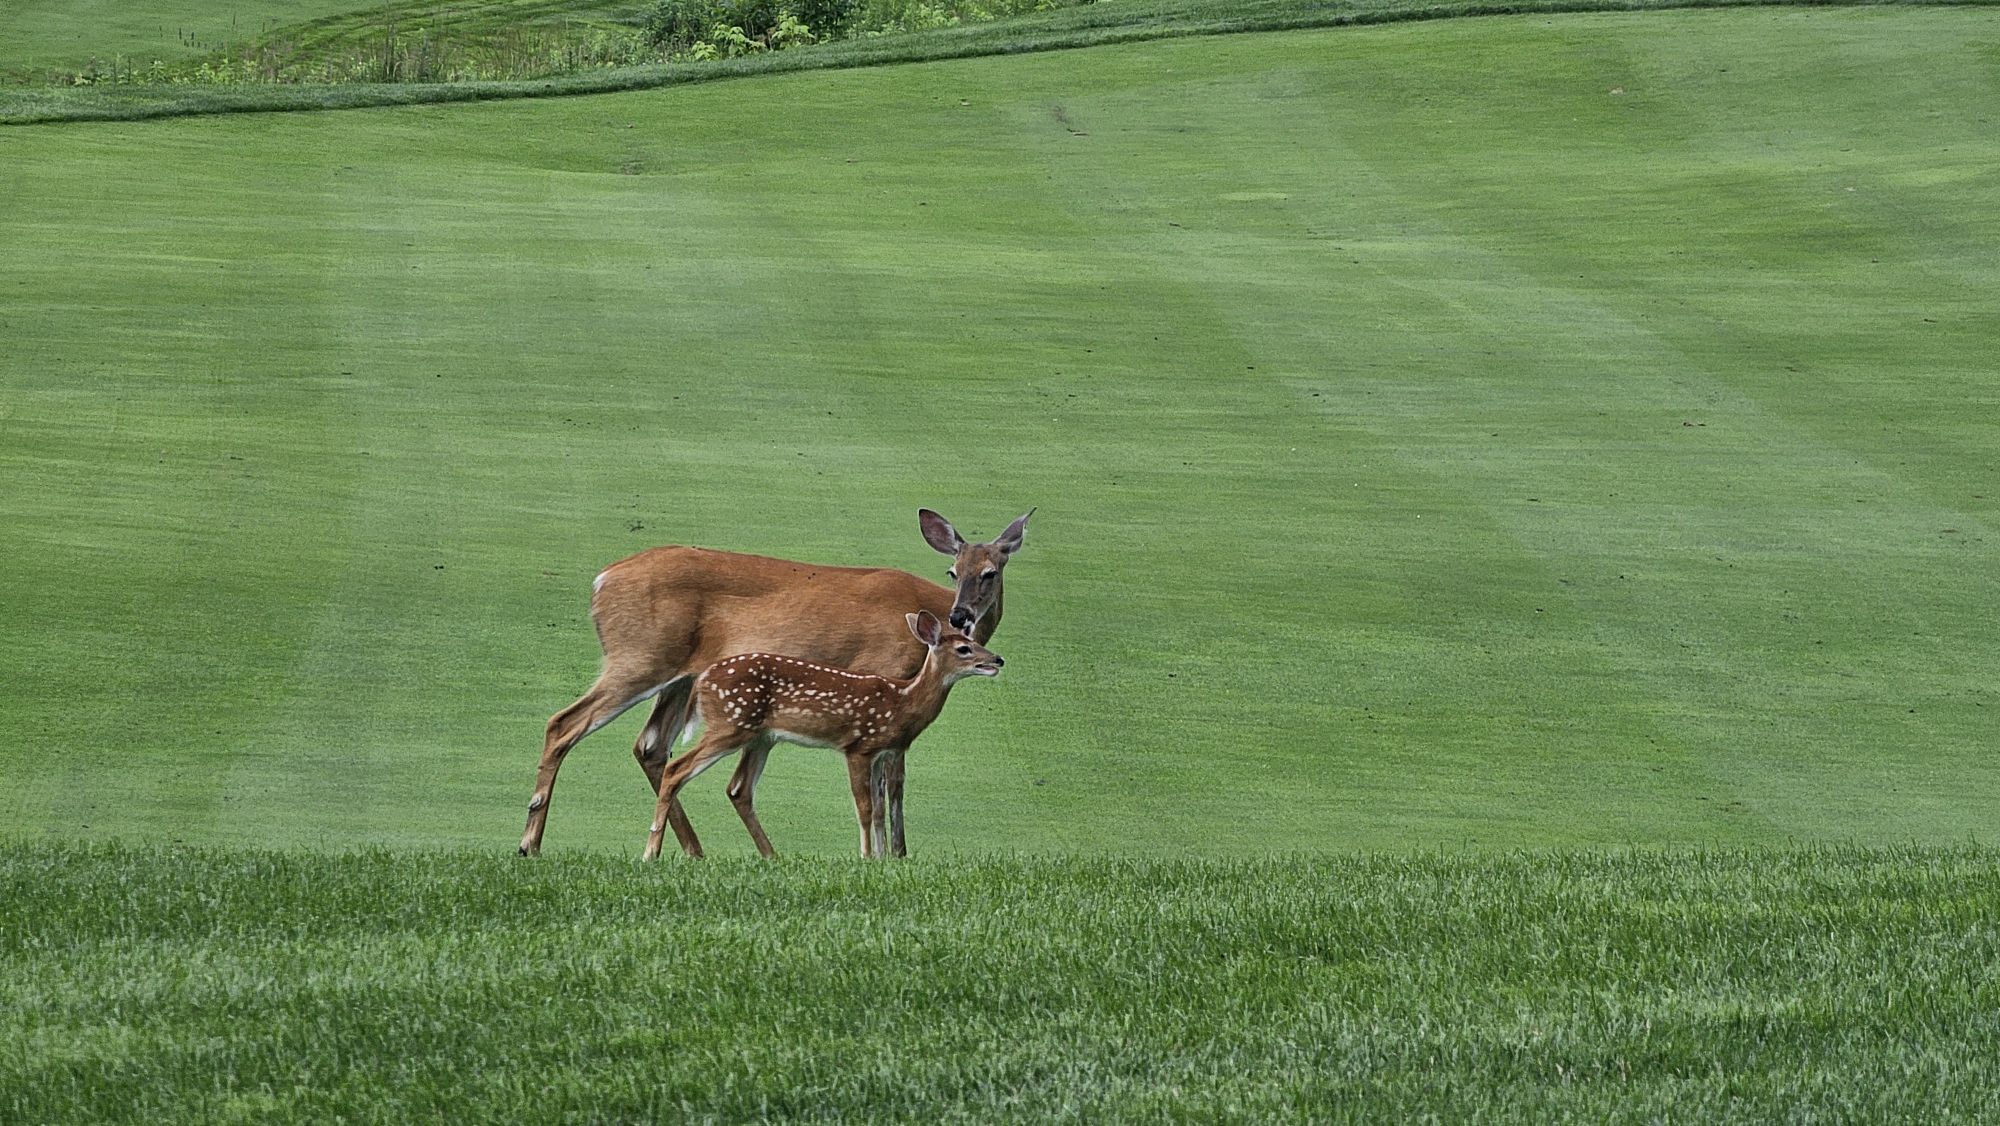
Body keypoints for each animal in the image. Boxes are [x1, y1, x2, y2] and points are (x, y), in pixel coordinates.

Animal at [641, 610, 1002, 860]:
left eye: (976, 642)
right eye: (964, 648)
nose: (998, 659)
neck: (902, 703)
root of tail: (702, 681)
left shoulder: (883, 751)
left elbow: (880, 809)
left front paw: (883, 858)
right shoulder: (858, 745)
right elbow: (864, 807)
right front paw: (866, 857)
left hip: (761, 737)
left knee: (738, 789)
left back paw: (773, 856)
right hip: (731, 723)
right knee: (676, 769)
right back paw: (651, 852)